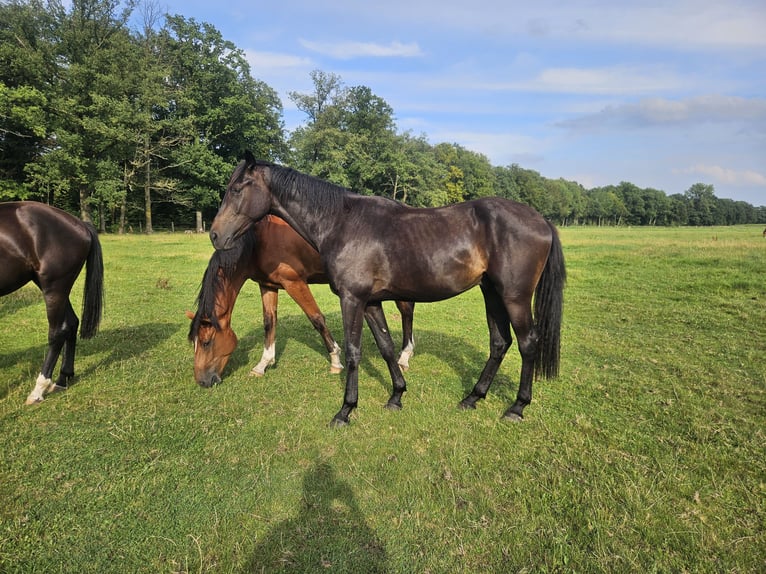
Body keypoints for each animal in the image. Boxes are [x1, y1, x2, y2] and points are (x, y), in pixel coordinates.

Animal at [0, 202, 104, 404]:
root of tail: (80, 224)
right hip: (54, 288)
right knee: (71, 323)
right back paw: (63, 379)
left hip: (54, 288)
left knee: (57, 332)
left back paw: (38, 390)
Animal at [188, 217, 416, 392]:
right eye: (195, 343)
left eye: (207, 342)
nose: (202, 381)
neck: (260, 238)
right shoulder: (268, 285)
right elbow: (269, 322)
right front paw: (262, 364)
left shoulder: (294, 282)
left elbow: (317, 319)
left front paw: (335, 360)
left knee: (406, 311)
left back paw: (405, 356)